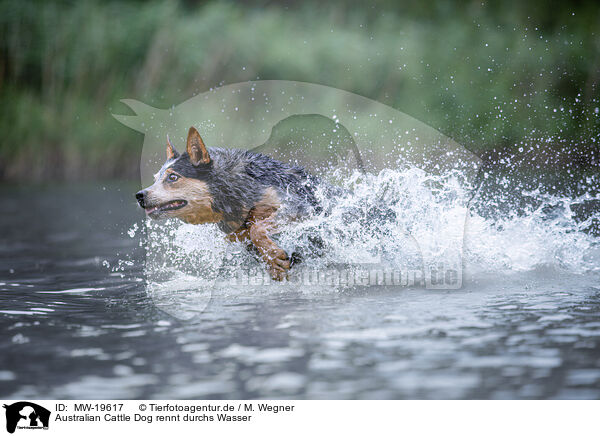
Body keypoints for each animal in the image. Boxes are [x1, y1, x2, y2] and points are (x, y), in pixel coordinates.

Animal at [137, 127, 324, 282]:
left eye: (172, 177)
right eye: (155, 179)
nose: (140, 195)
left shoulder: (300, 207)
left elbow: (257, 229)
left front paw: (274, 257)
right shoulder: (239, 238)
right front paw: (274, 264)